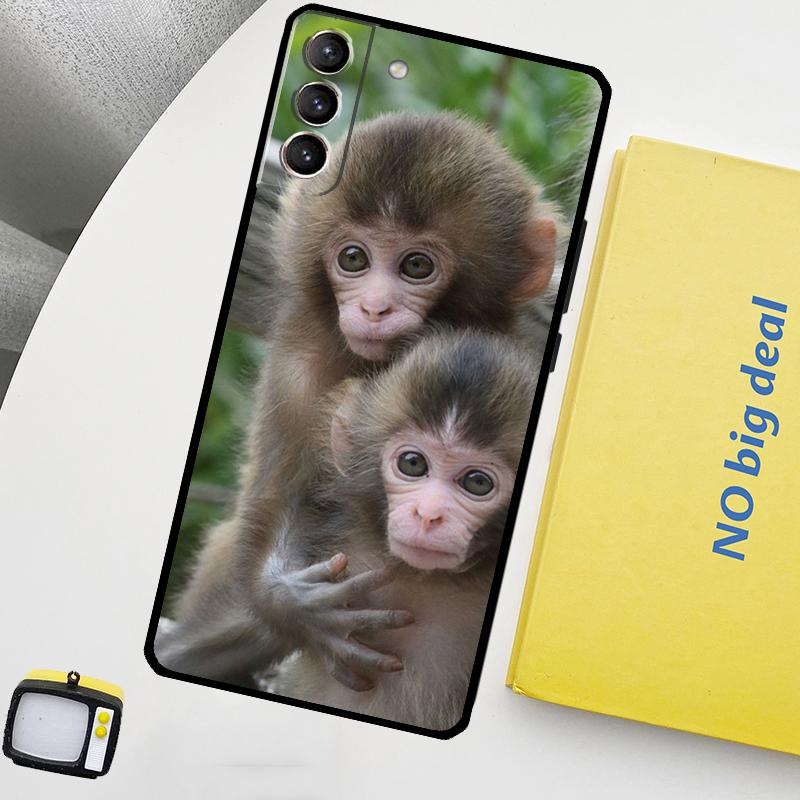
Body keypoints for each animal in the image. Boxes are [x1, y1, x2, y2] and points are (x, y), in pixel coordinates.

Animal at [154, 111, 562, 687]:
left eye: (417, 266)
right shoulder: (299, 367)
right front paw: (294, 603)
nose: (373, 308)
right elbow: (275, 504)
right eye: (353, 258)